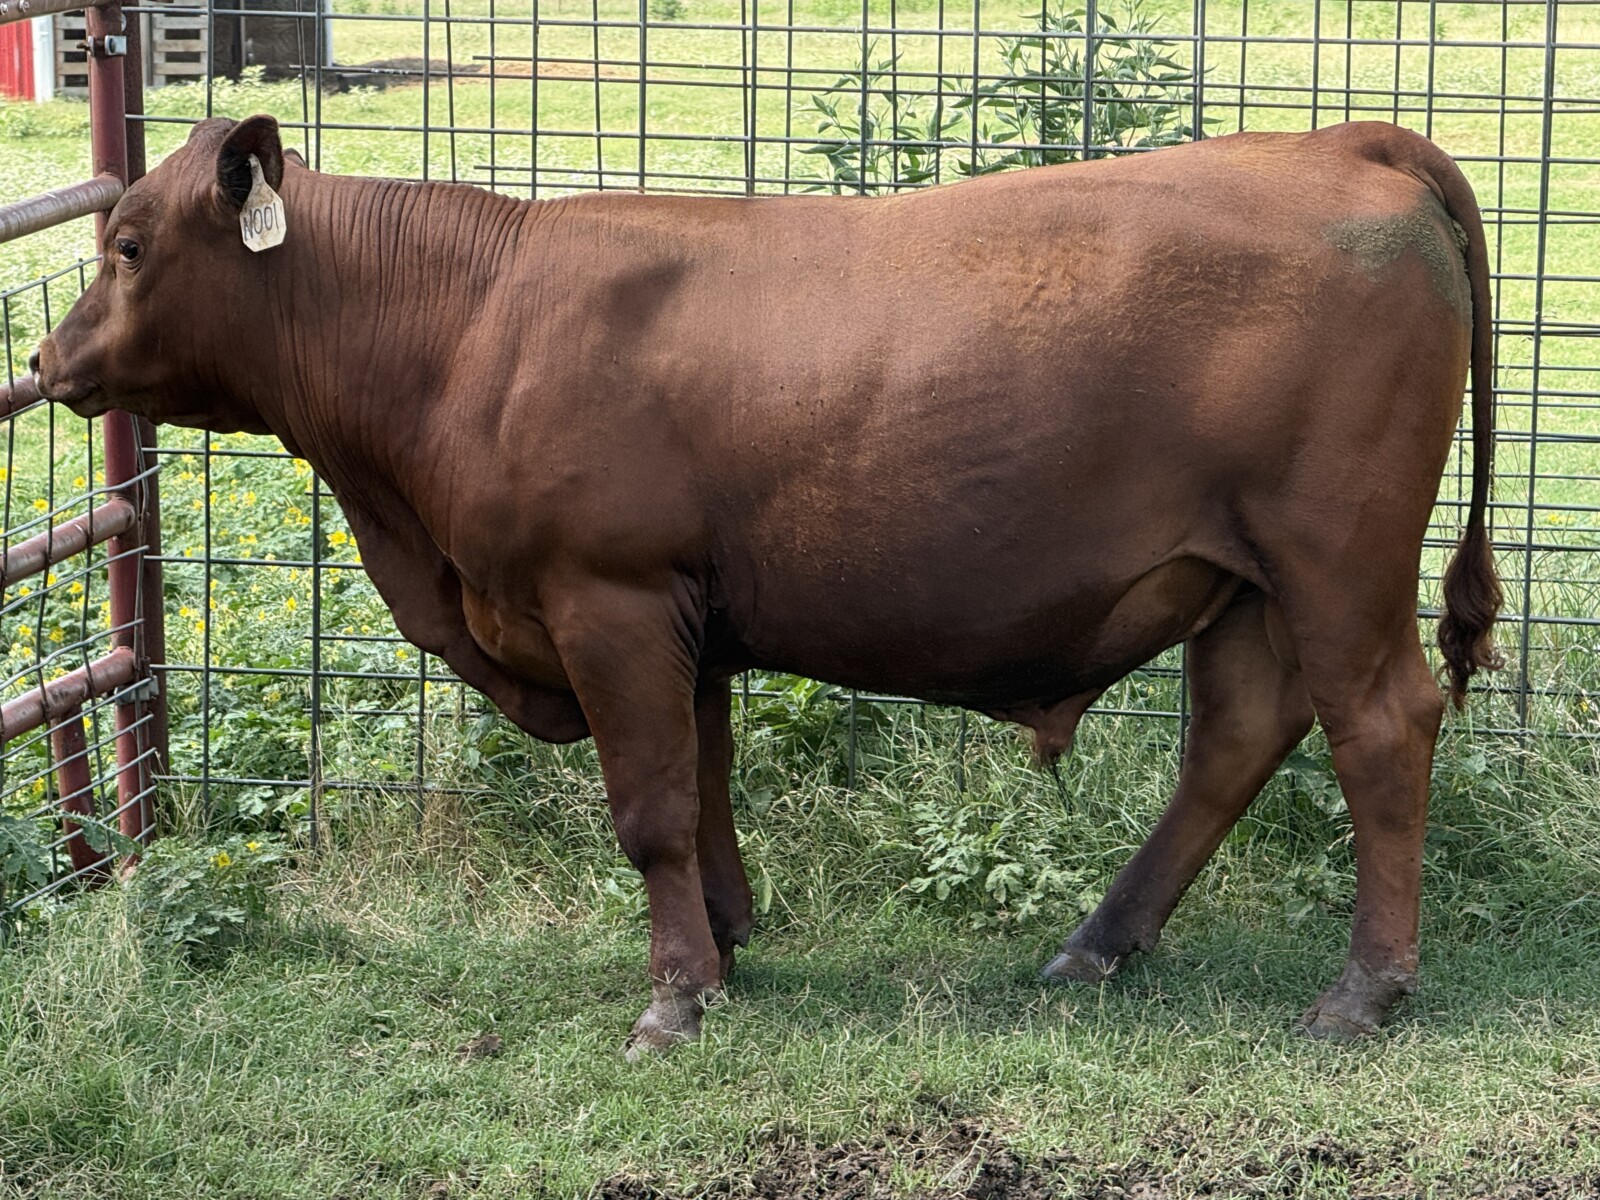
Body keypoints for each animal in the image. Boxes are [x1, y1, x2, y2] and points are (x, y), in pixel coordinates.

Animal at [33, 114, 1501, 1054]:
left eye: (129, 245)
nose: (45, 364)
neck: (469, 324)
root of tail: (1343, 140)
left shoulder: (608, 597)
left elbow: (649, 811)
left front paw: (674, 998)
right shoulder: (682, 615)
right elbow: (705, 784)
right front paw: (726, 946)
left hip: (1336, 556)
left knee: (1379, 727)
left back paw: (1364, 991)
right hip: (1243, 578)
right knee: (1238, 736)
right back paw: (1099, 941)